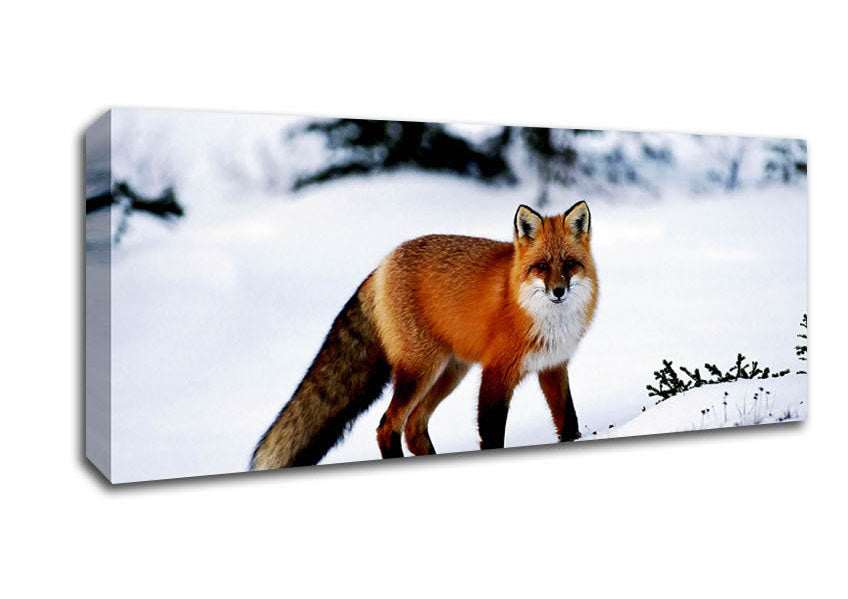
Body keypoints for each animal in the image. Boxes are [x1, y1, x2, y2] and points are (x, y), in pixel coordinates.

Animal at [251, 201, 598, 470]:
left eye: (569, 264)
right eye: (541, 266)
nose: (558, 291)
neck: (545, 319)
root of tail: (383, 263)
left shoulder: (553, 366)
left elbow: (568, 419)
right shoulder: (496, 372)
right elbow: (491, 433)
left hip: (449, 371)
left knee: (414, 426)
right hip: (420, 370)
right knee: (388, 425)